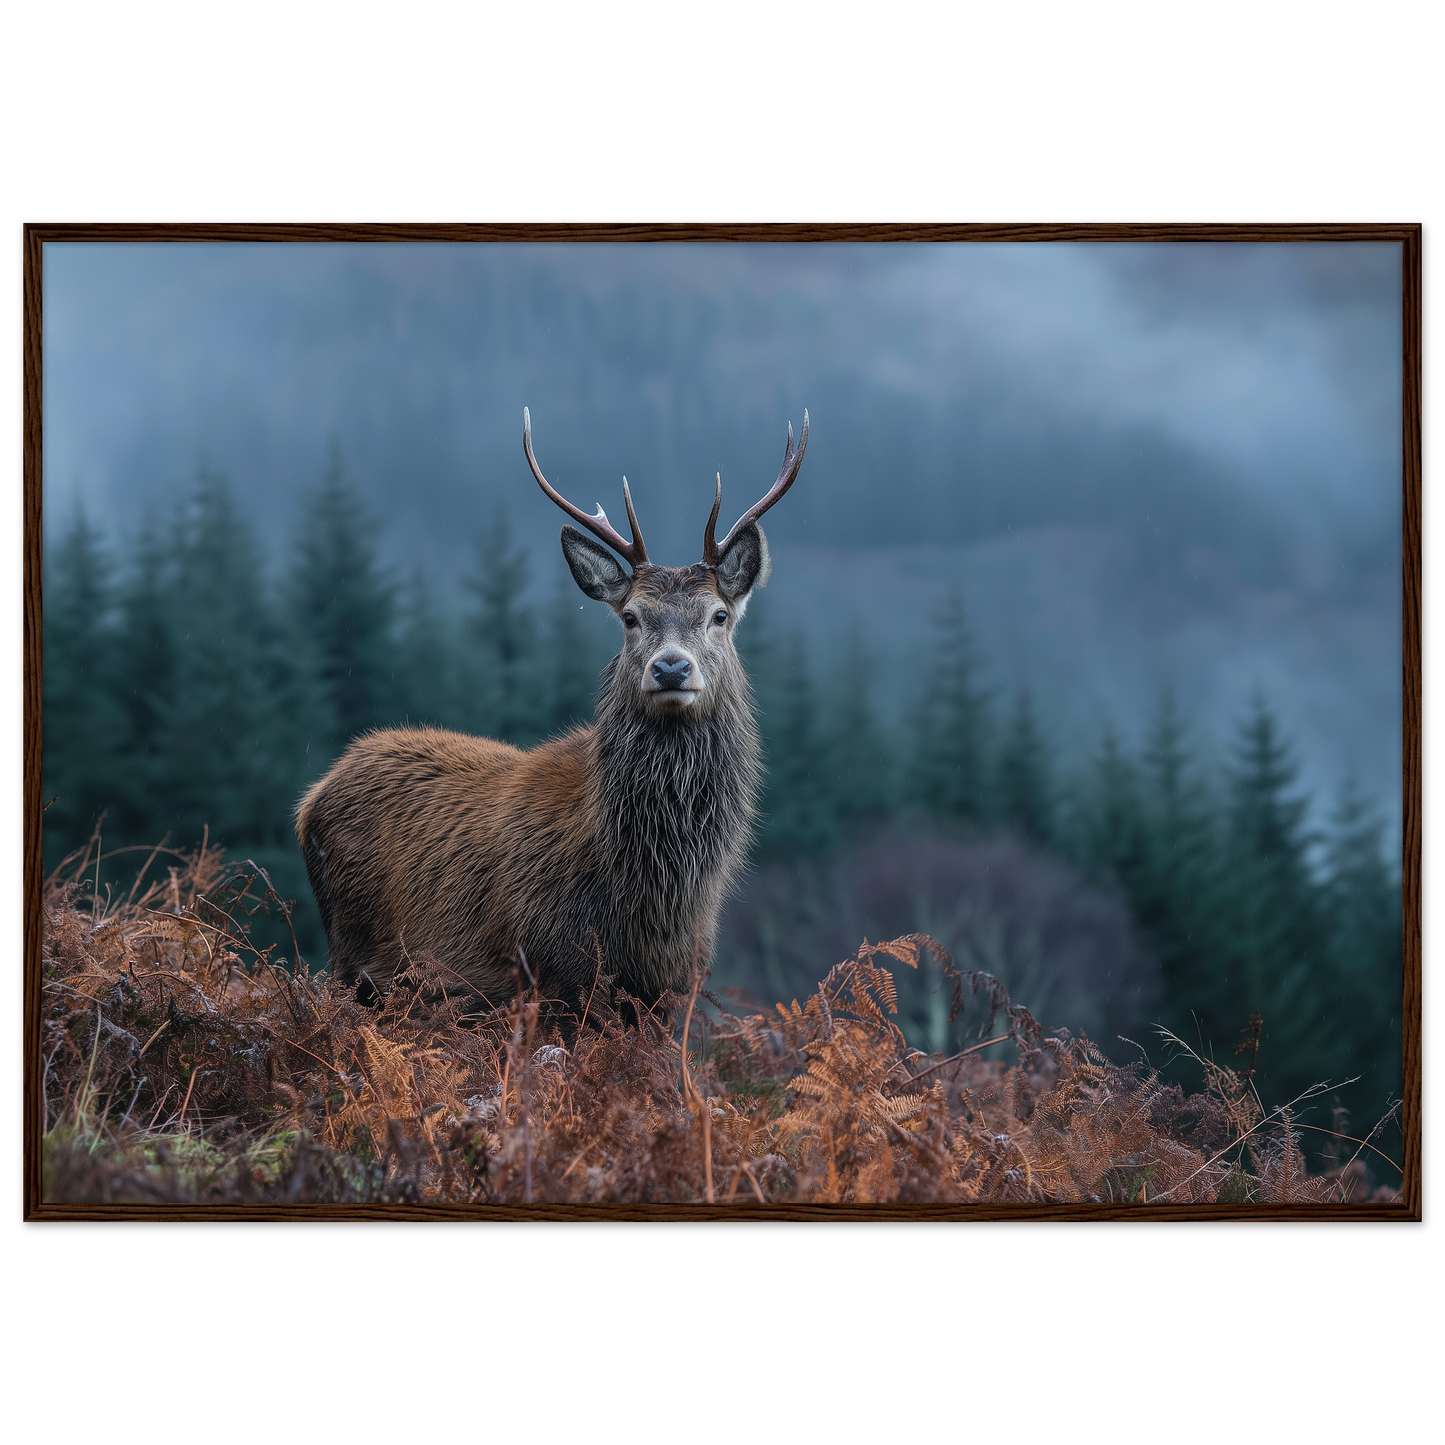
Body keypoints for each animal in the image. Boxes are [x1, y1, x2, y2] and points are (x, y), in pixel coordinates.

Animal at [295, 406, 809, 1024]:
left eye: (718, 615)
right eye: (631, 617)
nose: (670, 668)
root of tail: (312, 798)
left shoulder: (670, 991)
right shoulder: (554, 975)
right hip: (354, 958)